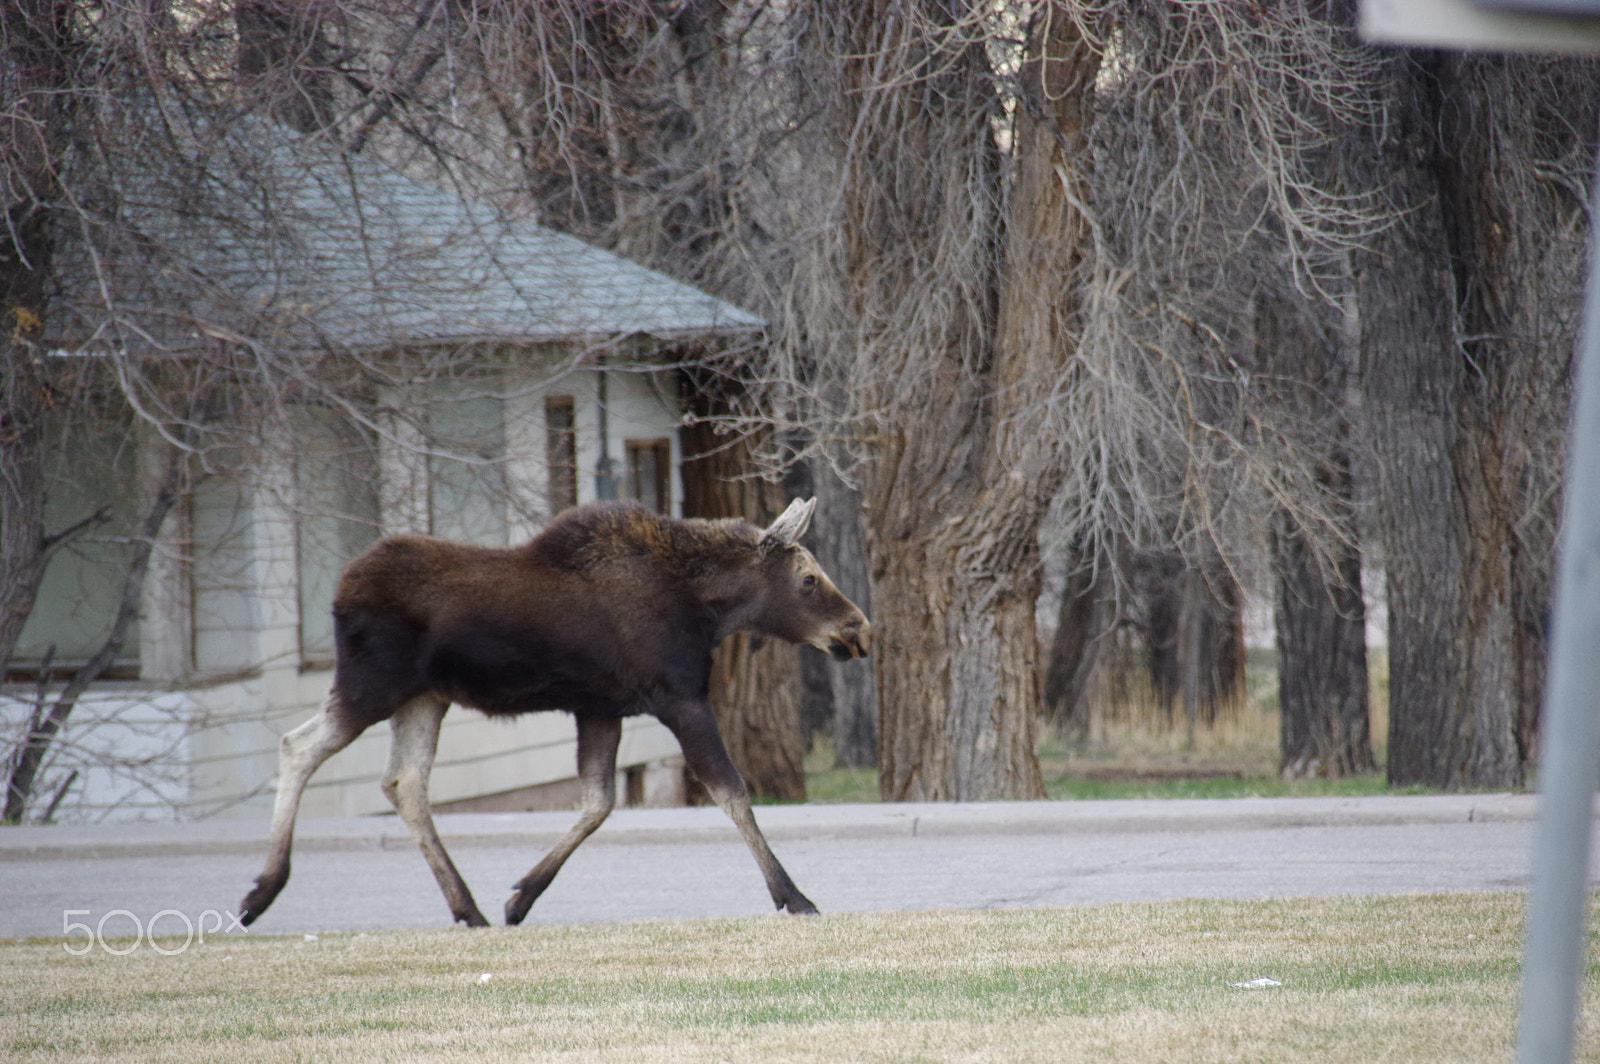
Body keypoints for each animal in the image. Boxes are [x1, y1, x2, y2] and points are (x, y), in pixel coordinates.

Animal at [238, 497, 870, 928]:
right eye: (808, 579)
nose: (859, 630)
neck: (709, 610)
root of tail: (339, 591)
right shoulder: (679, 696)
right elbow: (731, 790)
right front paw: (794, 896)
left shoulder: (602, 707)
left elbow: (598, 801)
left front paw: (521, 896)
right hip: (372, 684)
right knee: (299, 746)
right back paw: (262, 890)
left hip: (424, 697)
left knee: (404, 781)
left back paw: (468, 908)